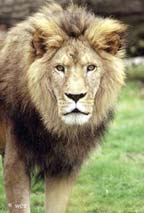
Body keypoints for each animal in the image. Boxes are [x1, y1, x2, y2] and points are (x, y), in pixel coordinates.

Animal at [0, 2, 126, 213]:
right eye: (59, 68)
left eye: (91, 67)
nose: (75, 96)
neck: (58, 127)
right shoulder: (15, 163)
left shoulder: (64, 167)